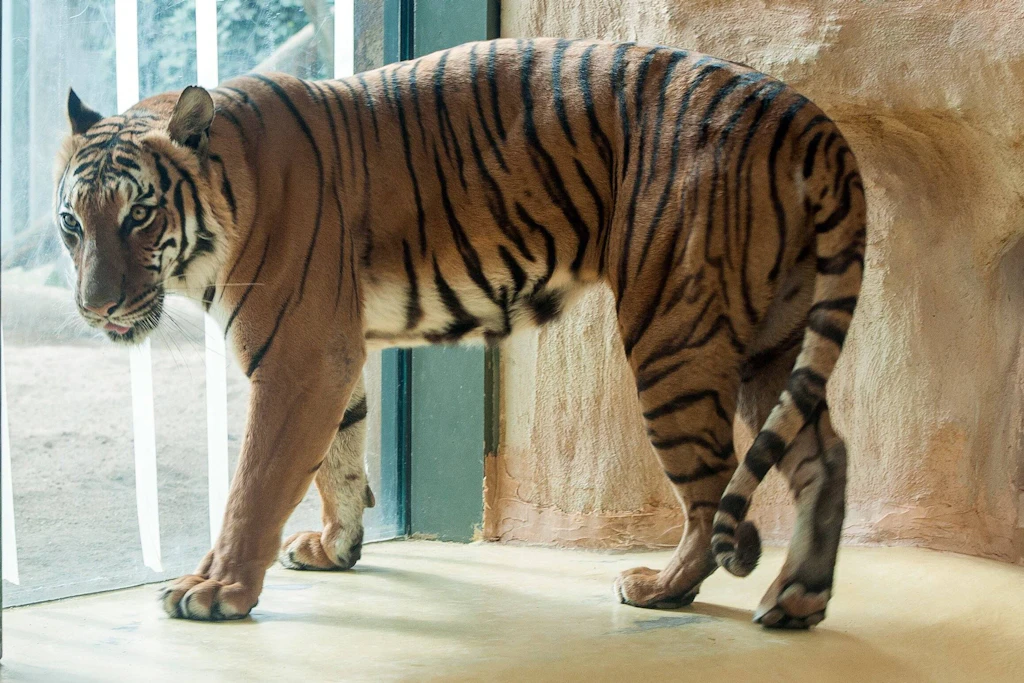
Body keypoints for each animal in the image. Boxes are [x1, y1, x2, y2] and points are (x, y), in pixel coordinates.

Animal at [55, 37, 866, 628]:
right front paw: (336, 548)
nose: (96, 308)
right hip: (774, 336)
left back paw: (664, 586)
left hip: (675, 337)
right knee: (823, 455)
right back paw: (797, 599)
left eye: (138, 215)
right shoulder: (334, 355)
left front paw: (216, 588)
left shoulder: (296, 358)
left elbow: (257, 481)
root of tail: (797, 110)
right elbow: (338, 458)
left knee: (711, 488)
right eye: (72, 223)